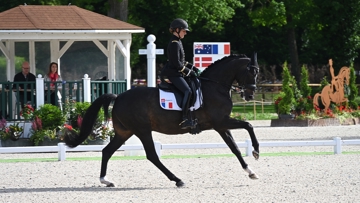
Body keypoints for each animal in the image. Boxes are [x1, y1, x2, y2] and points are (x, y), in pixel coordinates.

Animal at [63, 53, 260, 187]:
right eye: (251, 73)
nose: (250, 95)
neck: (214, 86)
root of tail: (118, 97)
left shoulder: (221, 126)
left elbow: (235, 148)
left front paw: (251, 172)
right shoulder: (221, 122)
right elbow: (249, 125)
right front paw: (256, 152)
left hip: (124, 132)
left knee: (107, 151)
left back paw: (106, 180)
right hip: (142, 130)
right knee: (152, 155)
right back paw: (177, 180)